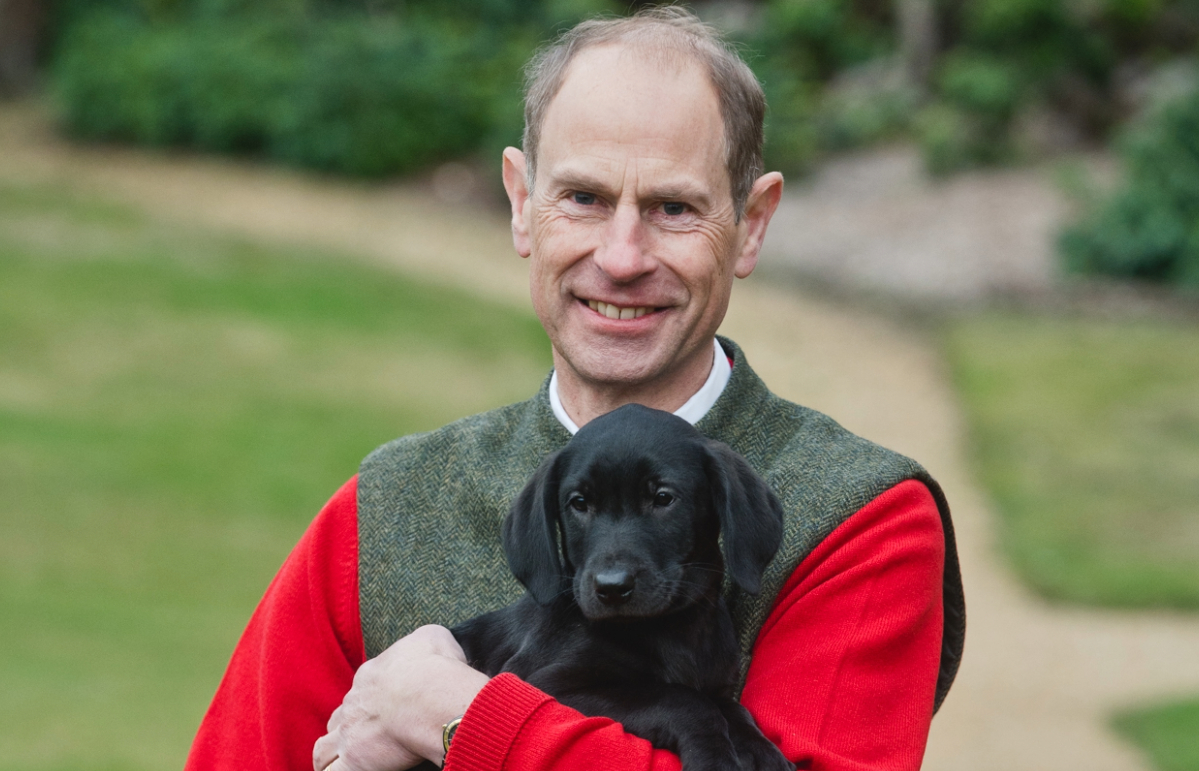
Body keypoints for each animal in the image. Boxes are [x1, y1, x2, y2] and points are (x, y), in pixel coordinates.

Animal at [450, 405, 796, 771]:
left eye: (663, 498)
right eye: (579, 503)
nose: (612, 587)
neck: (672, 628)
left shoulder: (718, 686)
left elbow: (734, 710)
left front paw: (761, 750)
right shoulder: (543, 685)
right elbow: (680, 699)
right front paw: (714, 757)